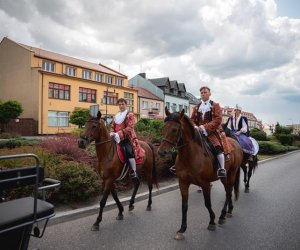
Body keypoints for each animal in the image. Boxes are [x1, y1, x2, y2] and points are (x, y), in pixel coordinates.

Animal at [157, 108, 244, 240]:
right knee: (228, 191)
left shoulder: (205, 184)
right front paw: (182, 229)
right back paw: (229, 211)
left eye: (175, 130)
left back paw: (222, 215)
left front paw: (212, 222)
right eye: (163, 128)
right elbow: (184, 205)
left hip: (232, 173)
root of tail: (236, 143)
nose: (162, 152)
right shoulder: (183, 182)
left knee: (228, 192)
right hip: (224, 177)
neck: (189, 156)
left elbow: (207, 203)